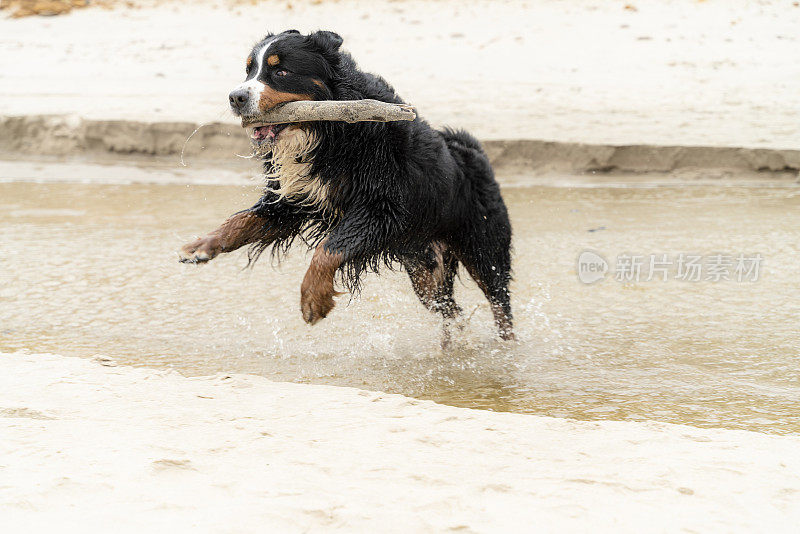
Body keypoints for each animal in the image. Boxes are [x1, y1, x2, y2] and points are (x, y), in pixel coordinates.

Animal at [179, 30, 516, 344]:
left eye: (281, 71)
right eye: (249, 71)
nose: (235, 97)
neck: (327, 132)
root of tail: (470, 148)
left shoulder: (380, 207)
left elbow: (329, 249)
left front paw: (313, 299)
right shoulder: (296, 199)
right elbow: (242, 220)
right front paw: (201, 245)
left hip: (483, 247)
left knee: (500, 306)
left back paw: (505, 349)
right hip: (424, 267)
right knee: (449, 309)